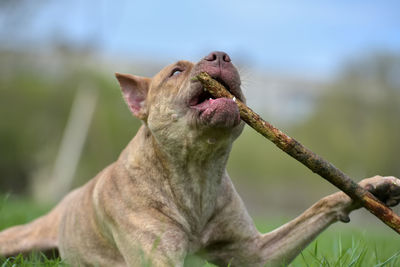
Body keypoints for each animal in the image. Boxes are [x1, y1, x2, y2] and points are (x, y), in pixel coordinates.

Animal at [0, 51, 400, 266]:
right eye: (175, 71)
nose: (220, 55)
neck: (197, 170)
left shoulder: (255, 252)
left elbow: (321, 205)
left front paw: (373, 188)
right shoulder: (159, 257)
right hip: (22, 236)